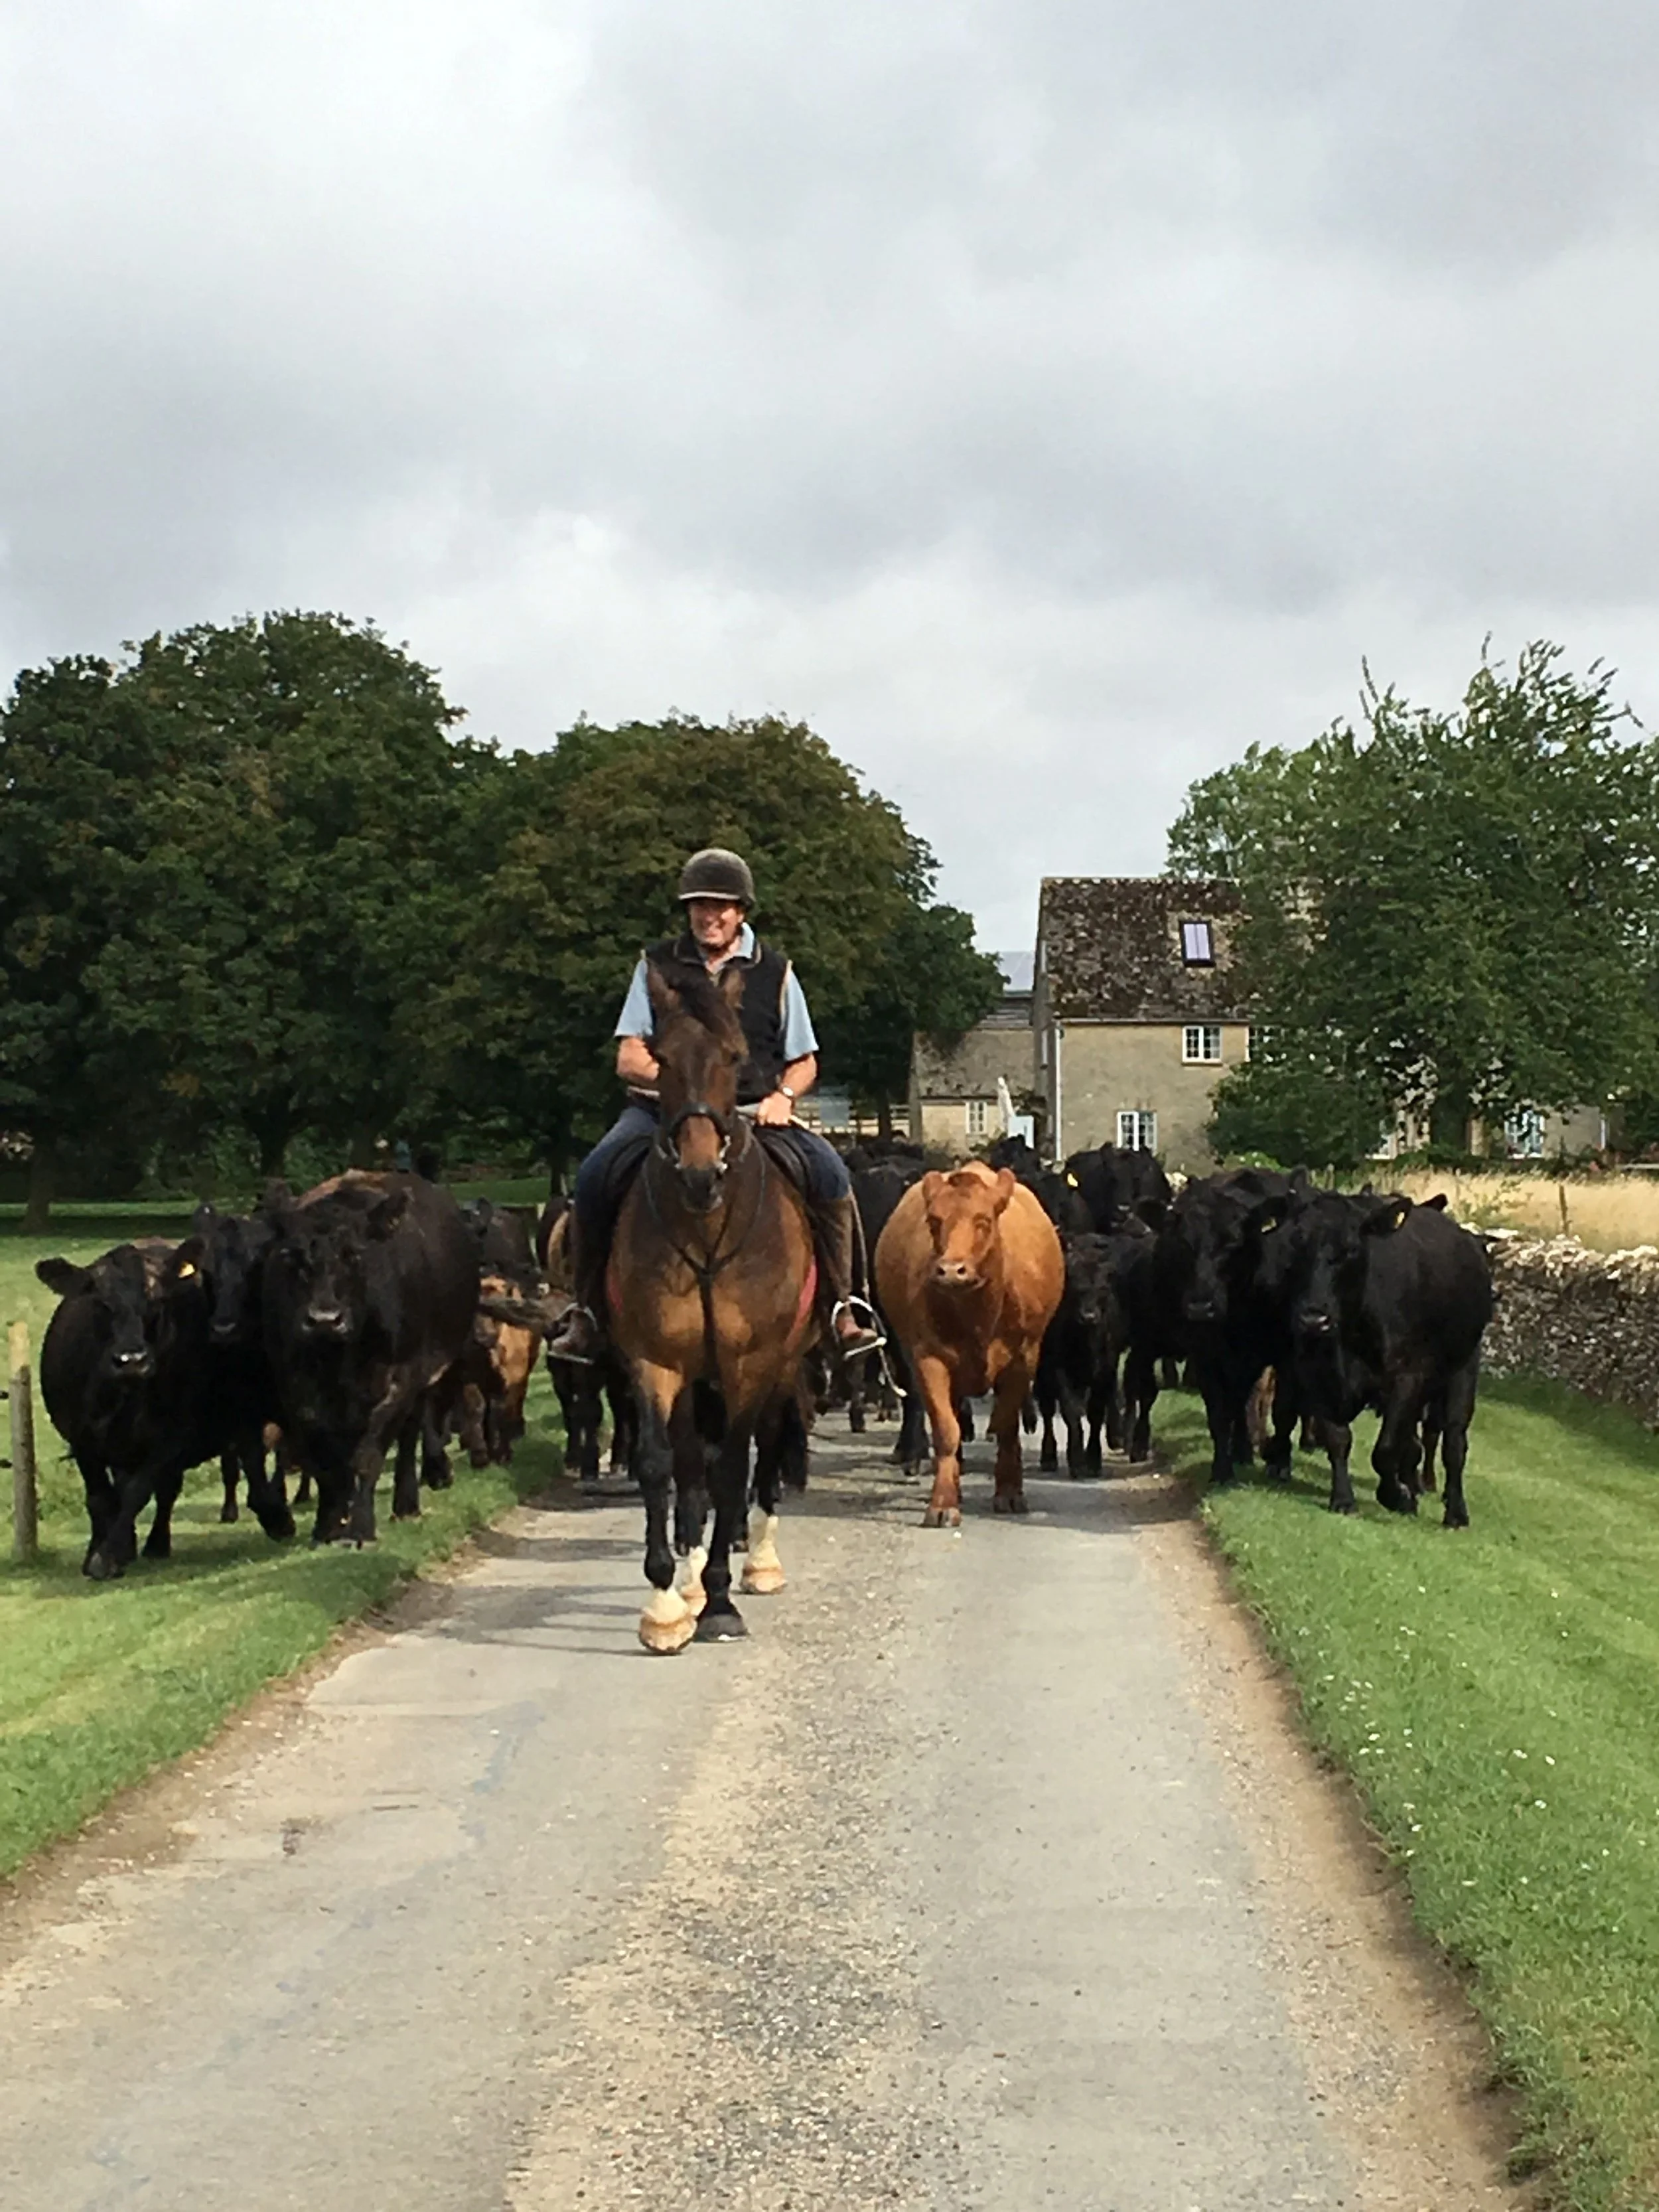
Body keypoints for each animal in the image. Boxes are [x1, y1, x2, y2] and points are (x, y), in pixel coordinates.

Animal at [37, 1238, 215, 1579]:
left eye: (156, 1300)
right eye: (100, 1303)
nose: (131, 1360)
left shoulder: (172, 1437)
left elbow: (138, 1493)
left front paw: (107, 1556)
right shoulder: (82, 1439)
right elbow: (100, 1498)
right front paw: (98, 1555)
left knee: (164, 1490)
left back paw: (155, 1545)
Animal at [262, 1171, 478, 1544]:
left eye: (355, 1256)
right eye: (293, 1258)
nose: (324, 1319)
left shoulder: (400, 1380)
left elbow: (368, 1455)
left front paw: (361, 1527)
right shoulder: (295, 1388)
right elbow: (323, 1458)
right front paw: (328, 1523)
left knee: (409, 1436)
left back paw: (406, 1504)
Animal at [609, 960, 819, 1652]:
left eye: (733, 1056)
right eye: (662, 1058)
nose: (701, 1174)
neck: (704, 1231)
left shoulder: (751, 1363)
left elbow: (732, 1467)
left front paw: (722, 1601)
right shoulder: (656, 1359)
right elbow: (664, 1465)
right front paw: (666, 1603)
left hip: (781, 1367)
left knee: (769, 1448)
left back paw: (759, 1563)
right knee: (692, 1464)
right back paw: (694, 1578)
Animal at [875, 1162, 1064, 1525]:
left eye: (984, 1221)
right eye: (934, 1221)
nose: (951, 1270)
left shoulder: (1023, 1358)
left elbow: (1006, 1425)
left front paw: (1009, 1493)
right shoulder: (928, 1359)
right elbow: (947, 1430)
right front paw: (943, 1503)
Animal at [1254, 1186, 1493, 1523]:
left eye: (1352, 1249)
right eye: (1295, 1244)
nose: (1314, 1319)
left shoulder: (1407, 1377)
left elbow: (1387, 1448)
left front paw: (1397, 1496)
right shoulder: (1316, 1371)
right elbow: (1338, 1438)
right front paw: (1343, 1498)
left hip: (1463, 1368)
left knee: (1454, 1441)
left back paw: (1455, 1512)